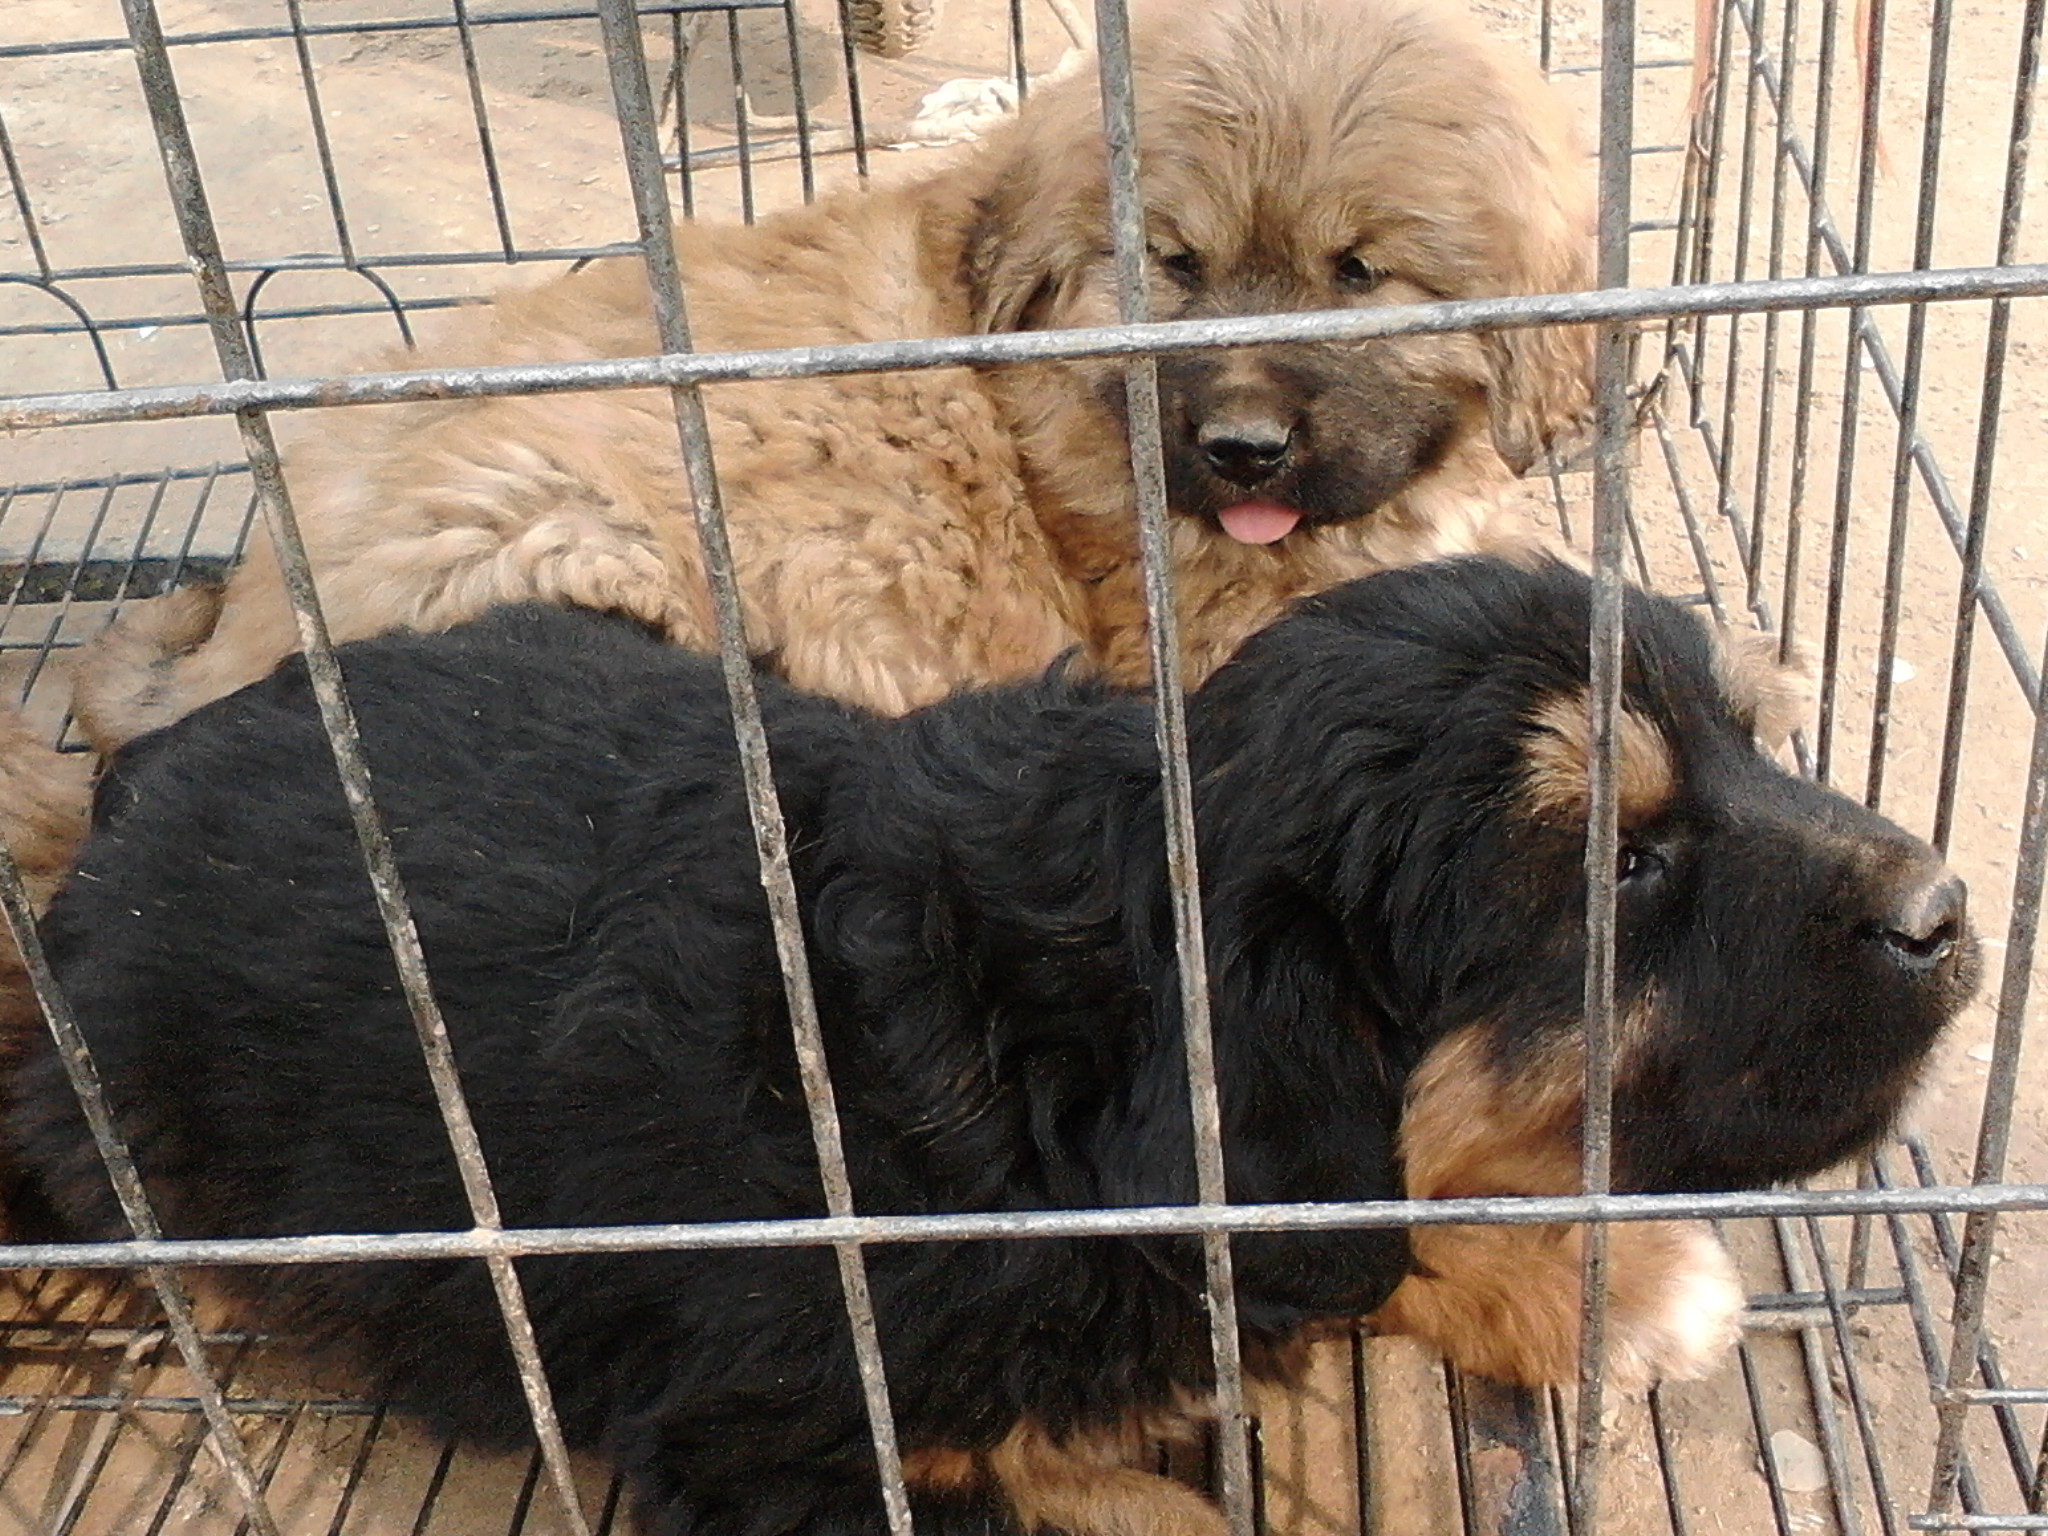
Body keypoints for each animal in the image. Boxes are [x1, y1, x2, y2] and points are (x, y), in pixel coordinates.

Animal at [12, 561, 1966, 1536]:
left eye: (1745, 744)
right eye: (1618, 868)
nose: (1952, 912)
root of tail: (132, 789)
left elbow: (1341, 1236)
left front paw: (1599, 1282)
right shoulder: (781, 1445)